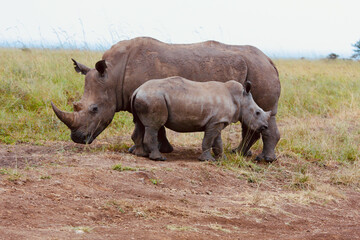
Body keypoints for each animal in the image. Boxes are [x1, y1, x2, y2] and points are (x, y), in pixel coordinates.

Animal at [130, 76, 270, 160]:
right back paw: (159, 158)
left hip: (146, 97)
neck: (240, 99)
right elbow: (208, 140)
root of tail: (137, 90)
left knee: (140, 124)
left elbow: (217, 141)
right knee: (153, 127)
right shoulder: (215, 122)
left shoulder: (218, 121)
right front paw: (207, 160)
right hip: (153, 97)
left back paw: (141, 154)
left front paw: (222, 159)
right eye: (257, 112)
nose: (265, 127)